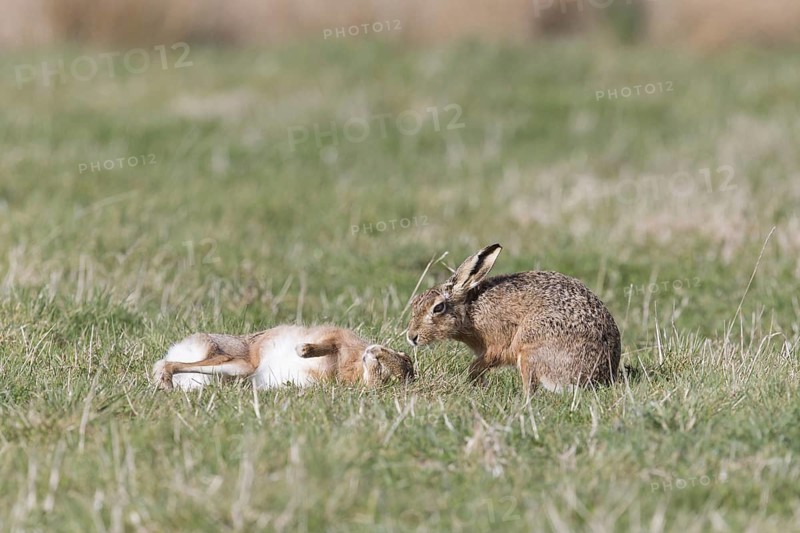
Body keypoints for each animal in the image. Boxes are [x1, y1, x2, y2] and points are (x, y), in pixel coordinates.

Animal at [152, 325, 414, 391]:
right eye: (406, 358)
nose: (372, 351)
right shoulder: (337, 339)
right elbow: (326, 344)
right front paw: (303, 349)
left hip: (237, 369)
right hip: (237, 362)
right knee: (169, 364)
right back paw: (163, 381)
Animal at [406, 244, 620, 394]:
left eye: (438, 307)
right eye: (415, 302)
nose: (412, 337)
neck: (470, 310)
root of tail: (598, 376)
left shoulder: (496, 345)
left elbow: (477, 365)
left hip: (529, 351)